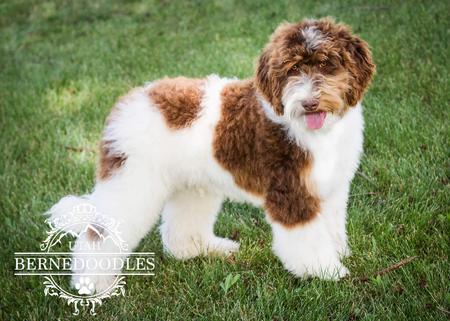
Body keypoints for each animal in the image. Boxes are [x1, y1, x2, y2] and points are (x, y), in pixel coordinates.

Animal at [49, 18, 374, 292]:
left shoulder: (331, 188)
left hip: (192, 185)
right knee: (98, 235)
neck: (318, 133)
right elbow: (307, 240)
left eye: (326, 63)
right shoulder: (291, 193)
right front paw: (325, 271)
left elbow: (332, 226)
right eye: (292, 70)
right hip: (132, 182)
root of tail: (127, 101)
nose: (308, 103)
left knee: (180, 231)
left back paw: (205, 249)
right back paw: (92, 284)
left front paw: (338, 253)